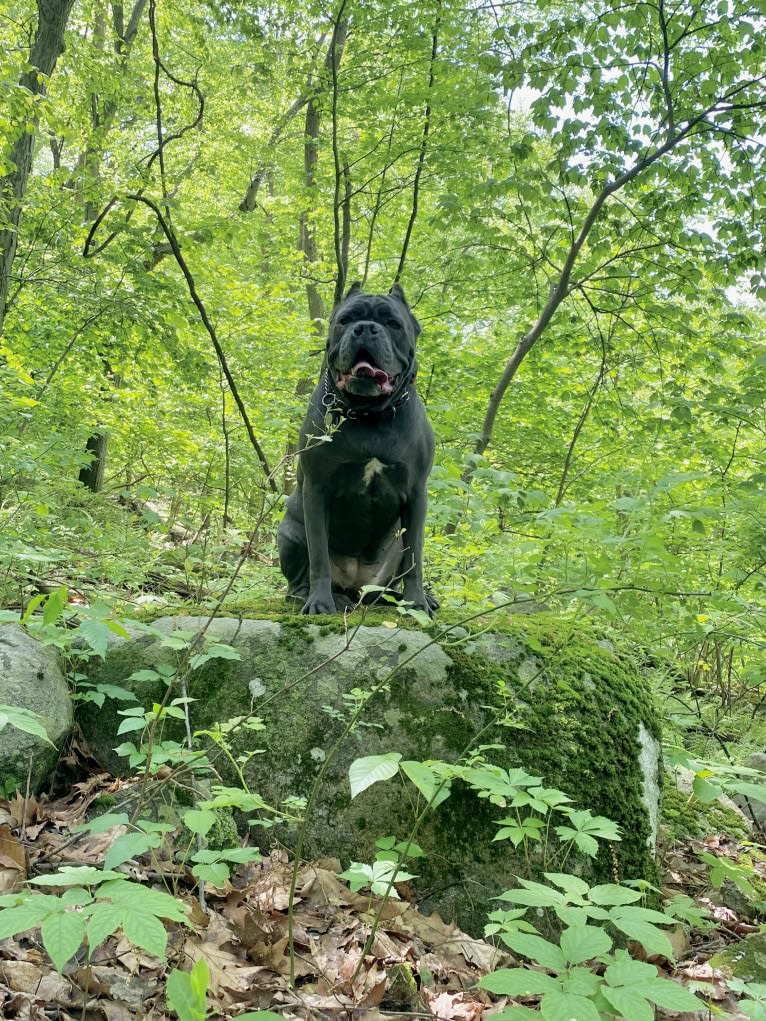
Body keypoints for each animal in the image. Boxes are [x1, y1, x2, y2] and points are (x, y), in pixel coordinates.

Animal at [279, 281, 437, 612]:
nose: (365, 328)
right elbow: (319, 556)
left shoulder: (416, 493)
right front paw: (320, 602)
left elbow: (415, 558)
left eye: (393, 324)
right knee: (298, 580)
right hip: (290, 533)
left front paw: (417, 602)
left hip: (393, 550)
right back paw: (325, 596)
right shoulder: (316, 489)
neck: (369, 414)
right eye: (345, 320)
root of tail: (356, 589)